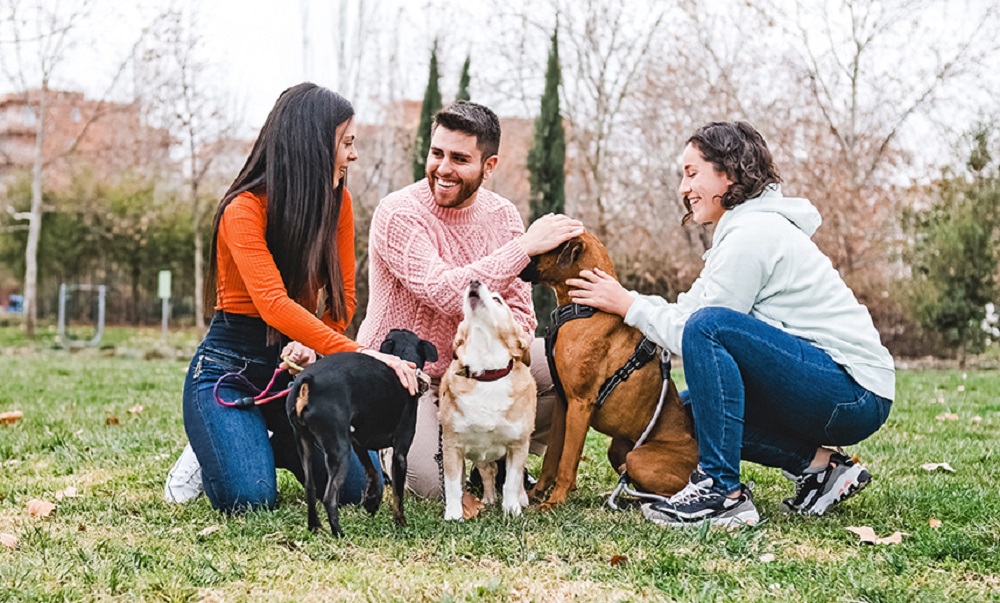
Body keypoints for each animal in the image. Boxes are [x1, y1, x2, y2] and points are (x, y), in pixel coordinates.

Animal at [286, 330, 434, 536]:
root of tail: (307, 382)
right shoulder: (399, 454)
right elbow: (398, 495)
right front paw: (401, 523)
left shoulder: (359, 443)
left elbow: (372, 472)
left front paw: (371, 502)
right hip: (339, 450)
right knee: (329, 497)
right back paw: (339, 534)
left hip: (304, 443)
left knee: (310, 487)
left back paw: (314, 527)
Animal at [440, 278, 536, 520]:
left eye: (497, 299)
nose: (474, 280)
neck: (487, 374)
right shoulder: (451, 446)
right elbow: (453, 485)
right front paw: (453, 514)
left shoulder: (518, 445)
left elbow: (511, 482)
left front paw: (512, 509)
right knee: (488, 471)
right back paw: (489, 497)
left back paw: (521, 498)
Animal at [520, 231, 700, 510]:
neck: (587, 309)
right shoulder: (564, 403)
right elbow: (552, 457)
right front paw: (538, 493)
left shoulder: (580, 404)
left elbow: (567, 460)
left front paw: (555, 500)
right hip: (617, 448)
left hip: (637, 459)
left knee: (663, 491)